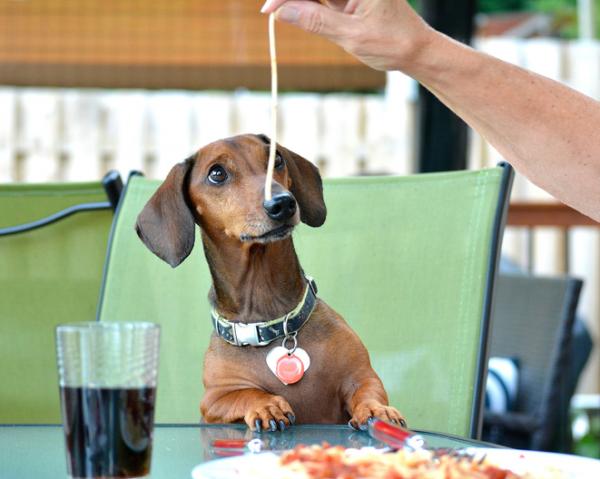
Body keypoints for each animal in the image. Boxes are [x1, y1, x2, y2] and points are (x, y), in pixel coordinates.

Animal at [137, 134, 404, 432]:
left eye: (276, 159)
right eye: (217, 173)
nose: (283, 203)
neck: (272, 320)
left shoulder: (361, 375)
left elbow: (367, 391)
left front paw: (377, 410)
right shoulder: (213, 400)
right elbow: (245, 393)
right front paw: (267, 405)